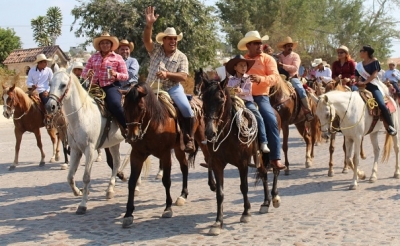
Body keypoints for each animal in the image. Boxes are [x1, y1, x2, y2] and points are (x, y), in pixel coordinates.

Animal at [44, 70, 126, 214]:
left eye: (63, 85)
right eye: (50, 83)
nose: (50, 106)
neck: (82, 115)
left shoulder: (90, 150)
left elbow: (86, 177)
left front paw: (82, 205)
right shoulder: (75, 150)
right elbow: (70, 177)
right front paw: (78, 191)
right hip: (114, 144)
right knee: (116, 162)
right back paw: (110, 190)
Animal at [121, 81, 216, 228]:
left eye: (141, 108)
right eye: (125, 107)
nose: (132, 136)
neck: (155, 122)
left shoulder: (165, 154)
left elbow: (166, 180)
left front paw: (167, 208)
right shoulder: (136, 155)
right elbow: (132, 182)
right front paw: (128, 214)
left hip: (202, 140)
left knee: (208, 159)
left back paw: (212, 185)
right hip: (178, 148)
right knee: (184, 167)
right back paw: (183, 195)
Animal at [200, 76, 282, 235]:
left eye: (220, 100)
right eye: (203, 99)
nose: (209, 132)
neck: (227, 132)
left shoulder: (242, 162)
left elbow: (244, 187)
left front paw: (246, 213)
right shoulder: (217, 164)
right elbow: (219, 193)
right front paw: (218, 222)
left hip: (271, 151)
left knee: (275, 169)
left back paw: (275, 197)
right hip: (259, 157)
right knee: (264, 174)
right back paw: (265, 202)